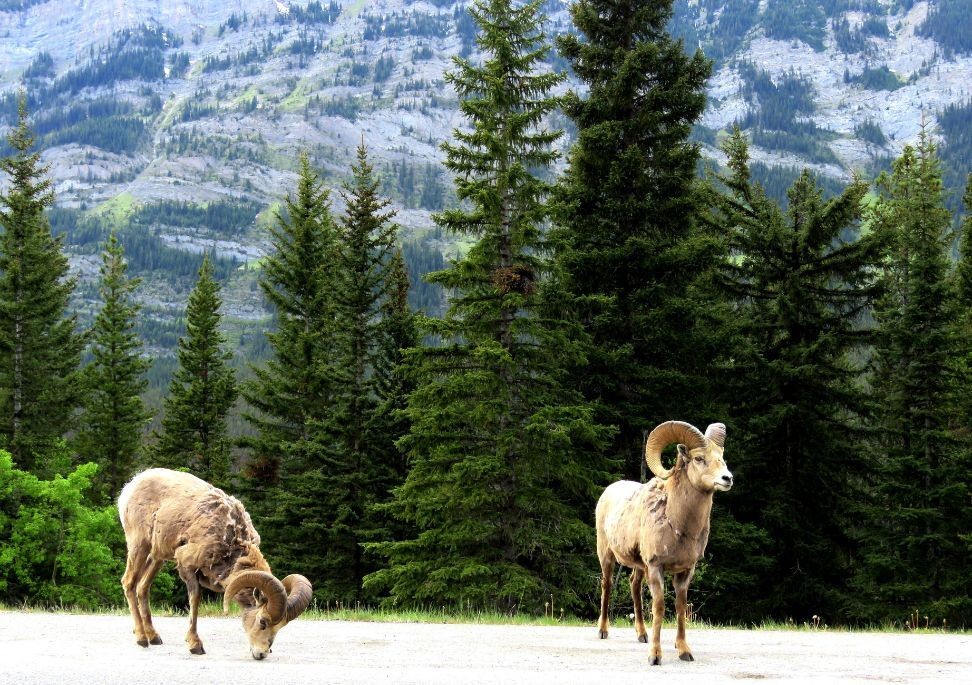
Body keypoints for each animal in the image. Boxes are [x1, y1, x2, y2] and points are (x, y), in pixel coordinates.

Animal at [118, 468, 313, 659]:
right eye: (262, 621)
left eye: (280, 627)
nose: (261, 653)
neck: (230, 539)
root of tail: (130, 486)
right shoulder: (187, 565)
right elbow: (195, 600)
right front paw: (195, 646)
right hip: (139, 546)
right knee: (129, 583)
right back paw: (142, 639)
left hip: (157, 557)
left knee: (143, 588)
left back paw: (154, 637)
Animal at [595, 420, 733, 665]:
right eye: (699, 458)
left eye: (722, 456)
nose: (727, 478)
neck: (677, 523)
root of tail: (608, 492)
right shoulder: (656, 567)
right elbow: (659, 608)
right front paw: (655, 656)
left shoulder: (685, 571)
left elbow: (680, 608)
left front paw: (684, 651)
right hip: (607, 556)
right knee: (607, 585)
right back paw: (603, 631)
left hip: (639, 566)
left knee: (634, 585)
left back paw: (642, 635)